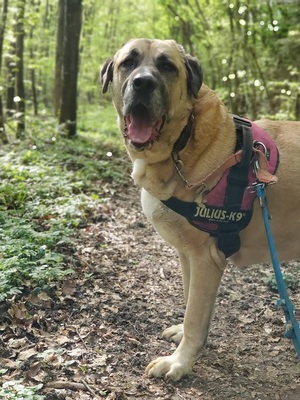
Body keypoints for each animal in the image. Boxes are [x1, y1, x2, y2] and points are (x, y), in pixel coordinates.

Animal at [100, 38, 300, 382]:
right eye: (129, 62)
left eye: (167, 66)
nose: (143, 83)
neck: (181, 144)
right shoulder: (188, 256)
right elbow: (190, 299)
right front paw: (185, 340)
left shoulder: (207, 258)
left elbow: (195, 314)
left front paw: (179, 362)